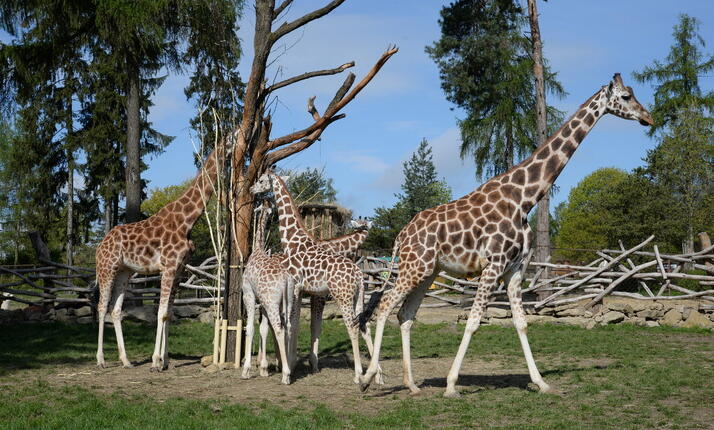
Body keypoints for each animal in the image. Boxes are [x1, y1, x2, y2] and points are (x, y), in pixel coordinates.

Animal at [94, 140, 227, 370]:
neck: (187, 221)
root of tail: (99, 247)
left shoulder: (179, 269)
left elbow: (169, 314)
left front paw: (165, 360)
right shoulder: (168, 266)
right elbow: (161, 312)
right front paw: (156, 361)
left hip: (123, 271)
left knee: (116, 310)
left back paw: (126, 360)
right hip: (107, 268)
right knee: (102, 307)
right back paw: (101, 360)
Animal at [250, 171, 382, 382]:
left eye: (262, 180)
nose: (252, 189)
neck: (292, 241)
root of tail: (358, 274)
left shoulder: (300, 289)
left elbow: (296, 325)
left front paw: (294, 365)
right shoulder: (307, 291)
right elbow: (301, 325)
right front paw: (297, 364)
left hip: (343, 296)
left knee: (353, 326)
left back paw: (358, 374)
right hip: (356, 297)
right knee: (363, 325)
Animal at [358, 73, 652, 396]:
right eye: (626, 97)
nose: (648, 117)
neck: (525, 198)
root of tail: (401, 235)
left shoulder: (515, 268)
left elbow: (521, 322)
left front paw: (541, 382)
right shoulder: (493, 264)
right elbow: (473, 321)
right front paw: (451, 385)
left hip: (429, 272)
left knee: (406, 315)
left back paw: (411, 384)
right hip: (415, 267)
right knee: (385, 305)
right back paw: (369, 378)